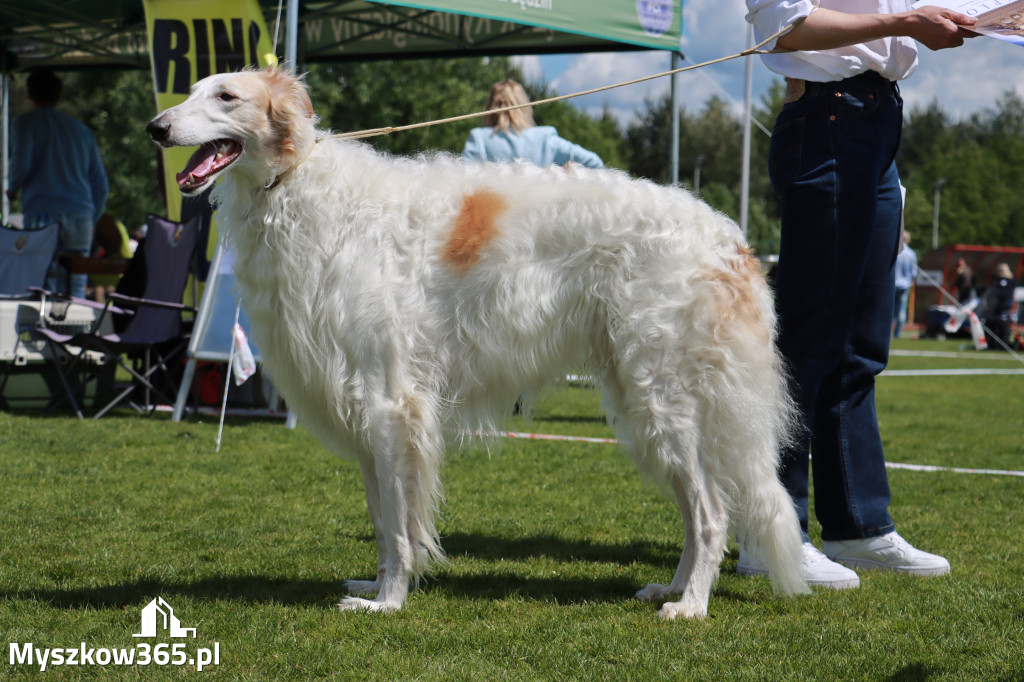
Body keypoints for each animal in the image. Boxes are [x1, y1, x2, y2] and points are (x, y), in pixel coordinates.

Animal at [148, 67, 811, 614]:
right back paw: (670, 589)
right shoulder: (365, 412)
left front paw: (387, 602)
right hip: (642, 402)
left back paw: (691, 606)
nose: (156, 127)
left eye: (226, 96)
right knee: (696, 514)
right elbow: (383, 520)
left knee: (713, 514)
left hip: (666, 398)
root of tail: (731, 240)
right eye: (193, 89)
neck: (296, 182)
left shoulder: (390, 403)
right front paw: (377, 583)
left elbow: (397, 525)